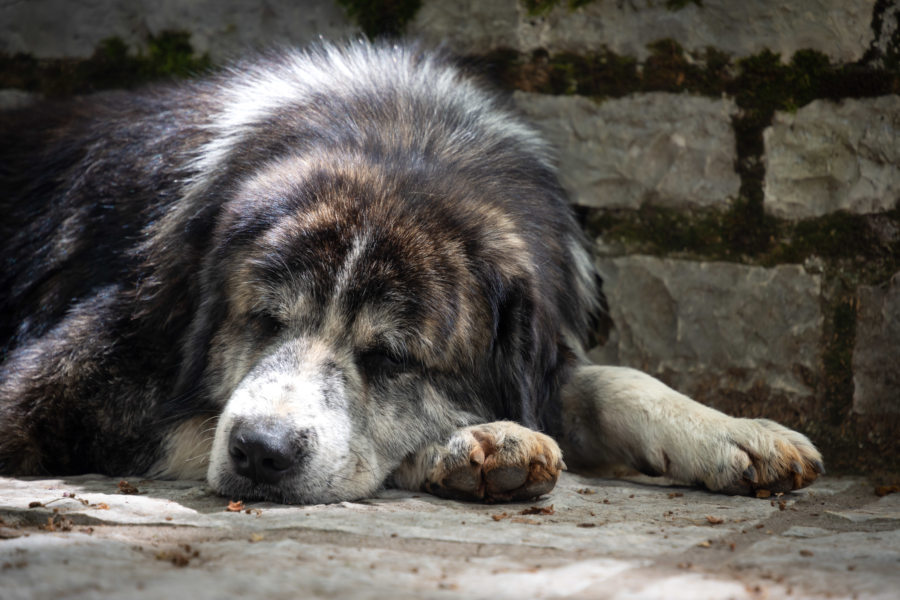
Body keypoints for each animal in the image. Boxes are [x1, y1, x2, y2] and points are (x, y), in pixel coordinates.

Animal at [0, 39, 824, 504]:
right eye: (264, 320)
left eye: (391, 358)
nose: (261, 452)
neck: (401, 138)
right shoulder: (46, 400)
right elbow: (197, 425)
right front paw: (469, 445)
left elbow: (605, 381)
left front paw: (732, 433)